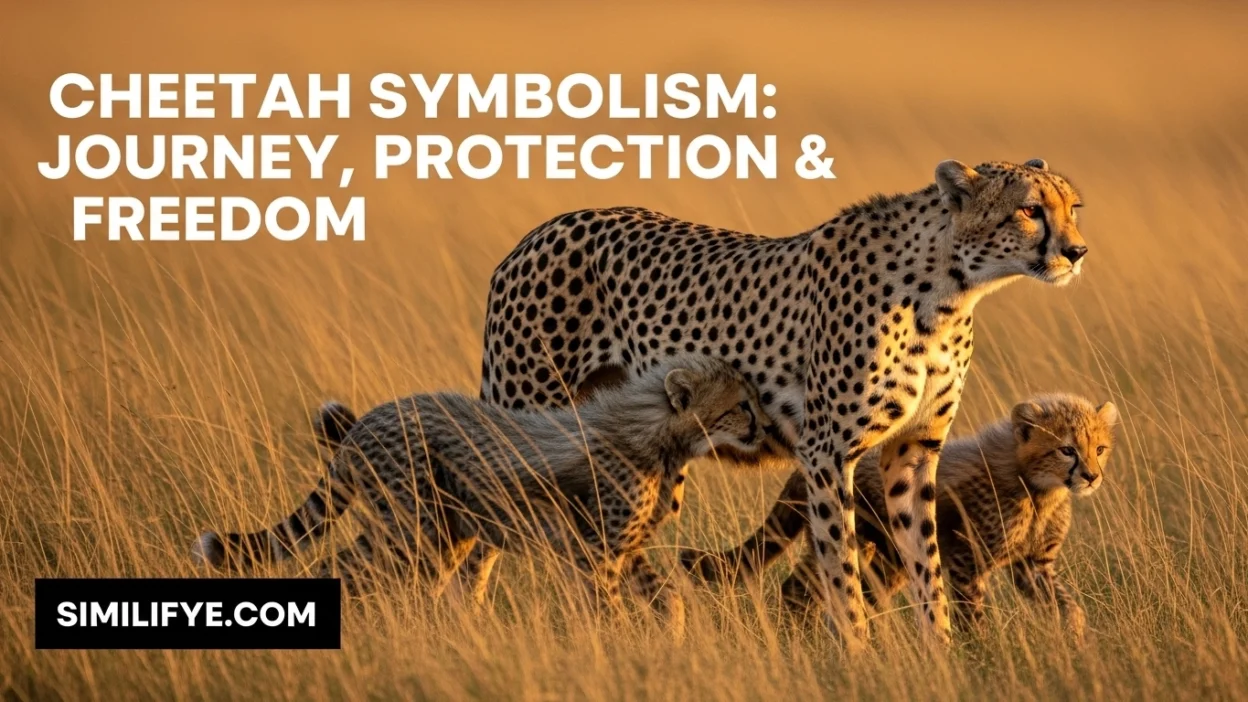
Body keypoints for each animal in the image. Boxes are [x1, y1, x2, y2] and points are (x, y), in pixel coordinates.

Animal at [191, 355, 768, 636]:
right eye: (741, 405)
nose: (764, 429)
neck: (658, 433)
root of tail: (370, 418)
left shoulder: (625, 549)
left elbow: (667, 597)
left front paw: (671, 642)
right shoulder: (596, 550)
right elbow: (603, 607)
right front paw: (613, 650)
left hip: (426, 531)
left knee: (351, 568)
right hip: (416, 532)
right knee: (362, 571)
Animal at [683, 393, 1118, 646]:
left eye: (1099, 448)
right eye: (1066, 450)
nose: (1091, 476)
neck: (1037, 489)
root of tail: (805, 468)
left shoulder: (1034, 565)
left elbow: (1068, 606)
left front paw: (1078, 641)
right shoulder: (965, 561)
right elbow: (971, 614)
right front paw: (979, 655)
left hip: (889, 559)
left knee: (855, 596)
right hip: (851, 543)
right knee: (799, 590)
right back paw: (805, 645)